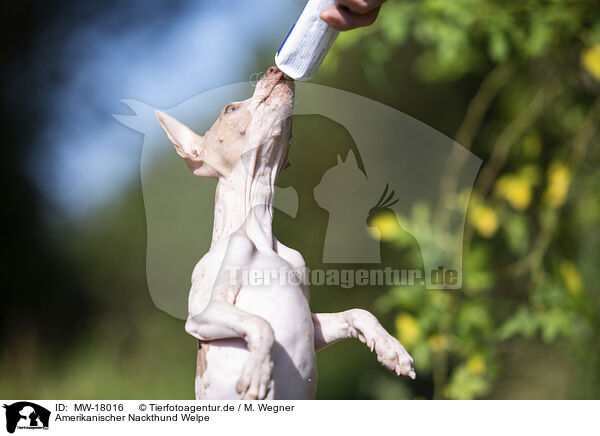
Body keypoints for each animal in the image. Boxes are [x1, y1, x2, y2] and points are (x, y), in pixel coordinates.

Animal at [156, 66, 412, 400]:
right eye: (230, 109)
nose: (274, 69)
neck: (261, 235)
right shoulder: (204, 316)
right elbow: (261, 324)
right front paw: (258, 371)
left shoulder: (313, 329)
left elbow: (358, 313)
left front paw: (390, 348)